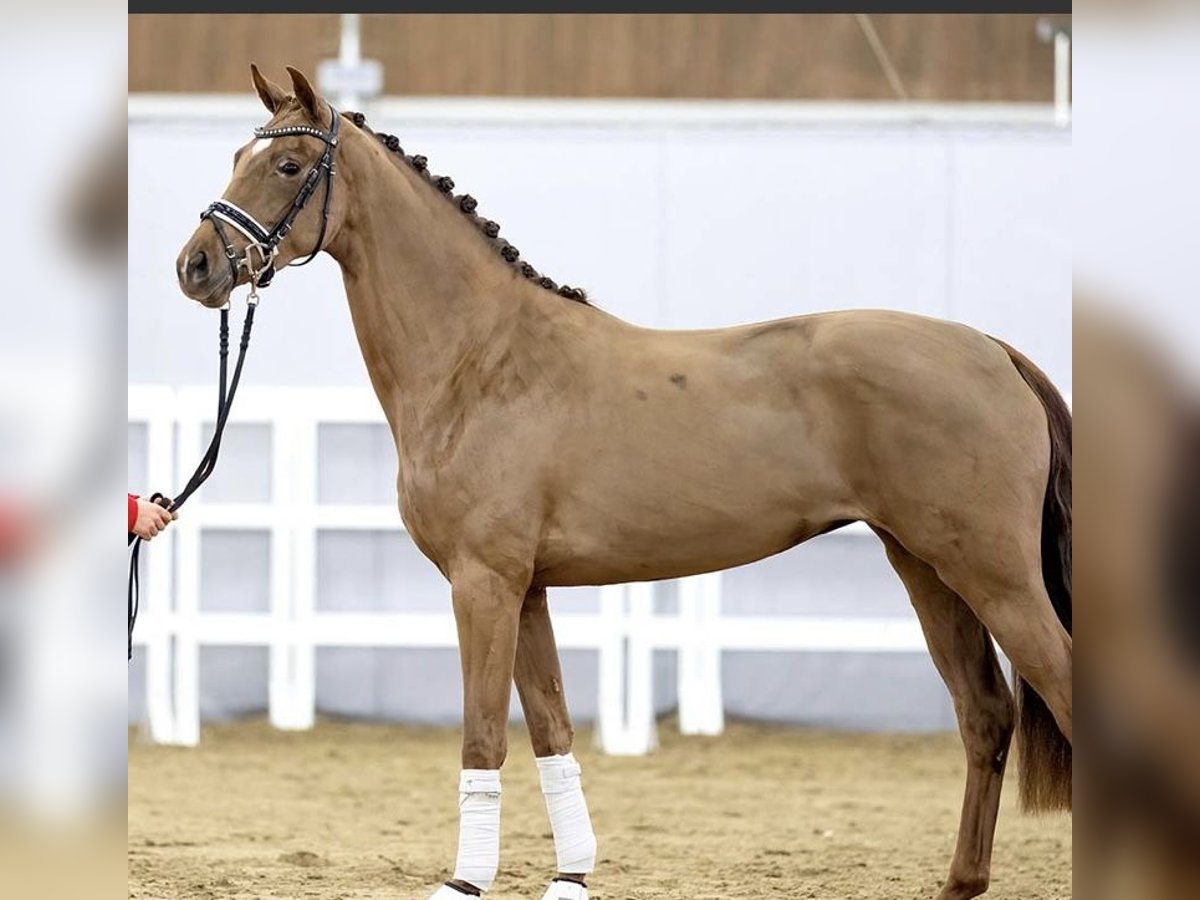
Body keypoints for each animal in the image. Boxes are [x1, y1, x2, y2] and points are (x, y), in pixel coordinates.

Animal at [174, 65, 1075, 900]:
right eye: (237, 156)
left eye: (289, 163)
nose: (196, 266)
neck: (482, 359)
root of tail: (992, 350)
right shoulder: (527, 590)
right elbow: (552, 730)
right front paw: (570, 875)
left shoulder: (483, 583)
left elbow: (484, 736)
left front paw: (464, 881)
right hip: (926, 567)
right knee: (984, 715)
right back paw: (959, 881)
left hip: (991, 573)